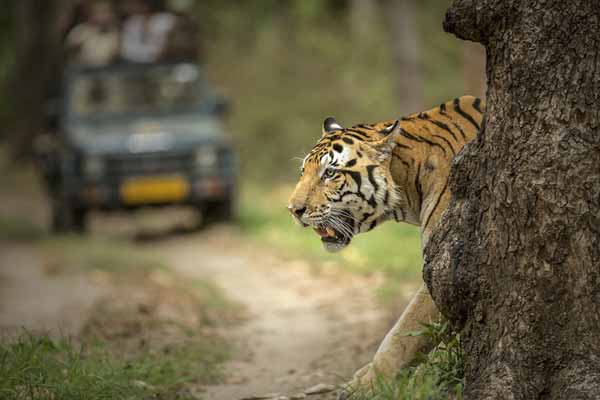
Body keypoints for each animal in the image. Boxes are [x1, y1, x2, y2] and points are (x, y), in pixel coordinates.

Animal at [288, 96, 486, 394]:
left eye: (330, 172)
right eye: (303, 172)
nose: (293, 210)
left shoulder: (444, 264)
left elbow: (402, 335)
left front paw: (368, 384)